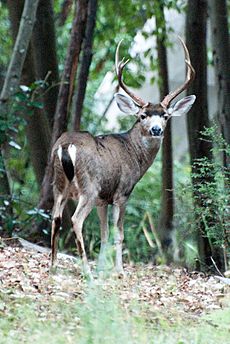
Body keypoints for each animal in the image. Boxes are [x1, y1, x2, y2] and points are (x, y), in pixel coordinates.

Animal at [50, 36, 196, 276]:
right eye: (143, 115)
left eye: (165, 115)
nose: (157, 129)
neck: (134, 153)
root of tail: (66, 145)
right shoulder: (122, 192)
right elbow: (119, 233)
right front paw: (118, 270)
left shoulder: (103, 199)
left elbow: (104, 233)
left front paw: (103, 268)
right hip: (89, 187)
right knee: (76, 220)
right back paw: (86, 270)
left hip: (59, 184)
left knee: (55, 217)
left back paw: (53, 266)